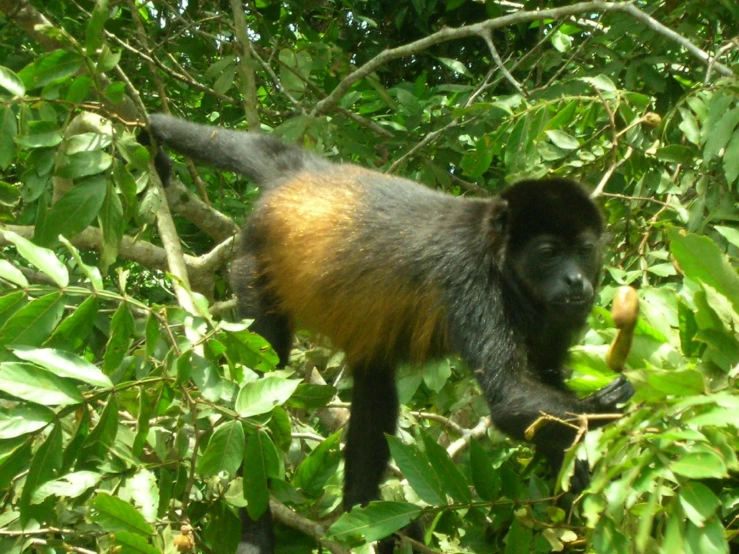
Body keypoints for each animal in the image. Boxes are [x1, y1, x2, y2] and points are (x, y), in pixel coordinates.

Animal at [147, 113, 632, 552]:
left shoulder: (559, 314)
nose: (576, 281)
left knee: (375, 393)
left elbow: (543, 384)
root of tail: (297, 178)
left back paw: (361, 513)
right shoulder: (469, 278)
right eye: (548, 253)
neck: (502, 261)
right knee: (263, 390)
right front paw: (606, 408)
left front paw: (577, 470)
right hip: (253, 269)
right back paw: (257, 533)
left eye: (584, 250)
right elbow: (511, 397)